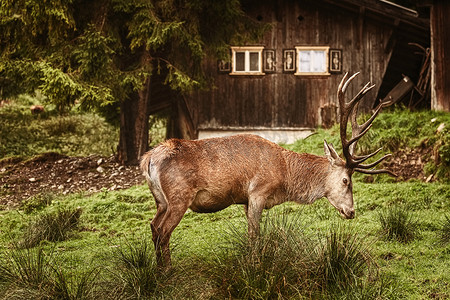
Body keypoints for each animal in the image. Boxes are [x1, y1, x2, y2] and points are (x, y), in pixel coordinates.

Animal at [140, 72, 394, 268]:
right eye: (346, 181)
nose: (351, 212)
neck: (284, 175)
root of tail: (148, 159)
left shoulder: (244, 200)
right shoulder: (258, 192)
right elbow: (255, 235)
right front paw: (255, 266)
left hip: (161, 200)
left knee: (153, 226)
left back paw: (159, 269)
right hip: (179, 196)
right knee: (164, 231)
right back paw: (168, 271)